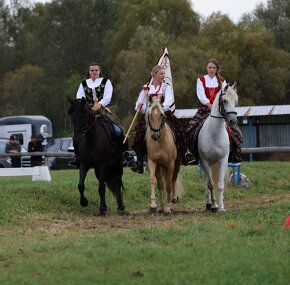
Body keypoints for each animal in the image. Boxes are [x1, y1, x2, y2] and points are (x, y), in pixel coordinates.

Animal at [199, 82, 238, 211]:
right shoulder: (204, 161)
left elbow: (220, 185)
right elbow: (211, 185)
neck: (214, 134)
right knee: (207, 181)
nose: (233, 121)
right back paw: (209, 203)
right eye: (225, 100)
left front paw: (221, 206)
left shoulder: (223, 159)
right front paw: (214, 205)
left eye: (235, 101)